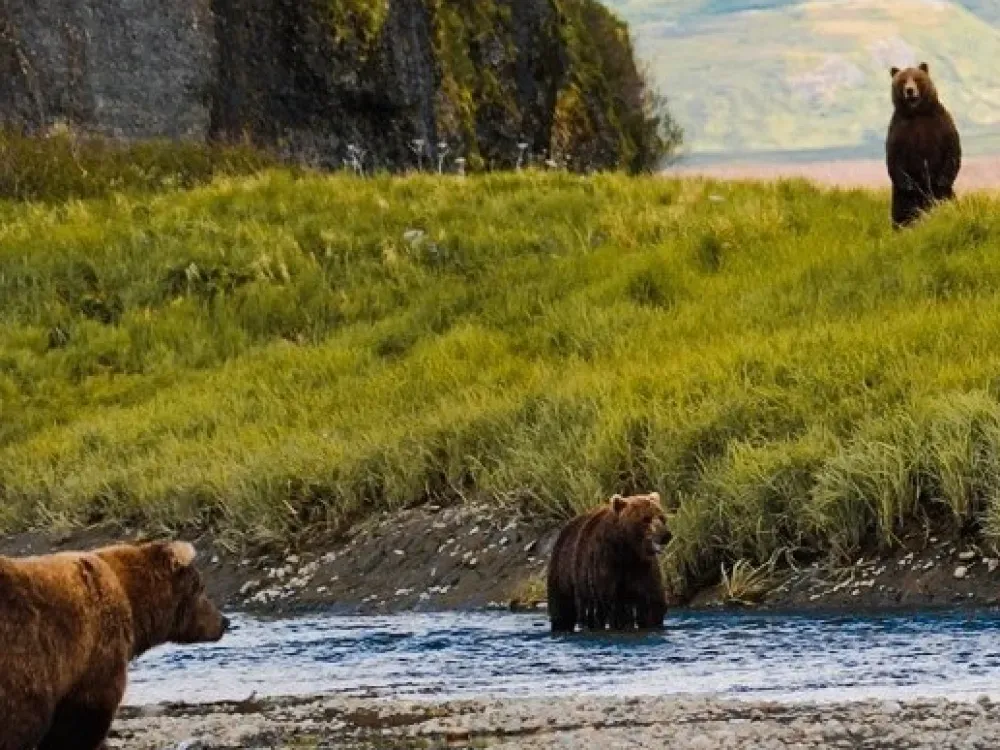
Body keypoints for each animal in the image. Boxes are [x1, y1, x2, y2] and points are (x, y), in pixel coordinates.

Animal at [546, 491, 671, 633]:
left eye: (662, 518)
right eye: (646, 518)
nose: (665, 535)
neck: (628, 550)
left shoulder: (643, 566)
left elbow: (651, 600)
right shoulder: (606, 563)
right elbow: (613, 602)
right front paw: (622, 624)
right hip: (564, 572)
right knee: (562, 608)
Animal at [885, 62, 961, 229]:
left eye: (917, 78)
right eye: (902, 80)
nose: (909, 90)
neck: (917, 113)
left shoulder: (940, 123)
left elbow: (952, 149)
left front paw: (942, 179)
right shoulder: (899, 129)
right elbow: (894, 157)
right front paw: (908, 184)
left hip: (943, 194)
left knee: (946, 200)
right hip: (900, 197)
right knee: (902, 210)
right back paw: (902, 226)